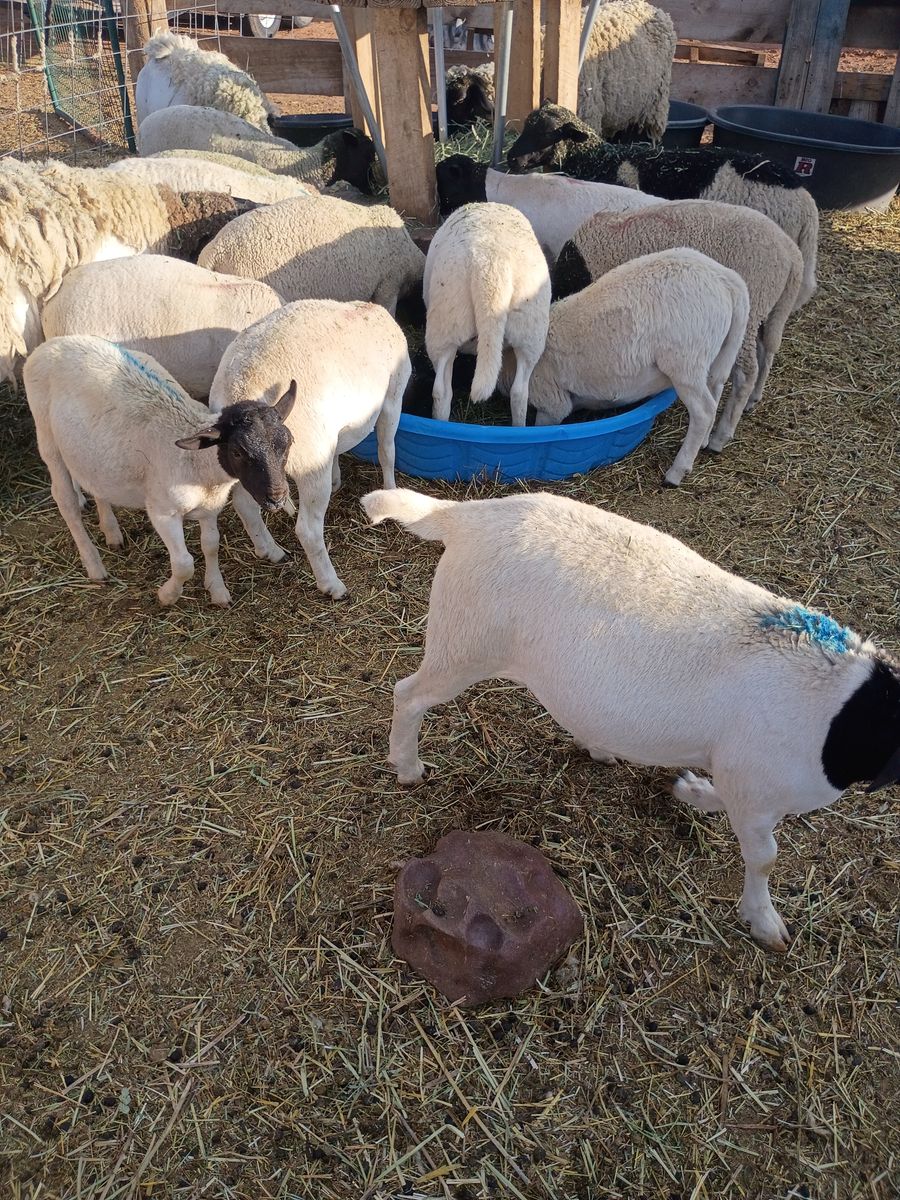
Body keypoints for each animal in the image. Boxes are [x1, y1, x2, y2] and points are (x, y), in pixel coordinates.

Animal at [23, 335, 295, 606]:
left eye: (288, 443)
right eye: (238, 452)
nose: (277, 497)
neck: (199, 463)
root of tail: (53, 343)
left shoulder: (210, 508)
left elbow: (211, 545)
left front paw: (217, 591)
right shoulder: (163, 512)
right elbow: (184, 564)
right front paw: (167, 595)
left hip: (93, 454)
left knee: (96, 485)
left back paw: (111, 532)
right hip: (48, 438)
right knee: (66, 501)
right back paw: (94, 565)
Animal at [208, 299, 410, 598]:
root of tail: (241, 387)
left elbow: (340, 449)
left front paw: (338, 478)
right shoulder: (392, 400)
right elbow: (387, 451)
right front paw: (391, 491)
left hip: (244, 467)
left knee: (245, 505)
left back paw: (270, 550)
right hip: (310, 459)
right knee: (308, 531)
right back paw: (332, 584)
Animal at [363, 486, 900, 950]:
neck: (845, 714)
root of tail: (464, 516)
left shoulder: (738, 773)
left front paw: (692, 791)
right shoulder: (755, 780)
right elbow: (764, 858)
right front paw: (765, 922)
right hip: (466, 639)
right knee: (408, 694)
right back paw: (407, 767)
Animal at [551, 201, 803, 442]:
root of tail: (792, 253)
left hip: (754, 305)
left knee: (746, 373)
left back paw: (720, 436)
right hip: (768, 308)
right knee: (766, 349)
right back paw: (753, 399)